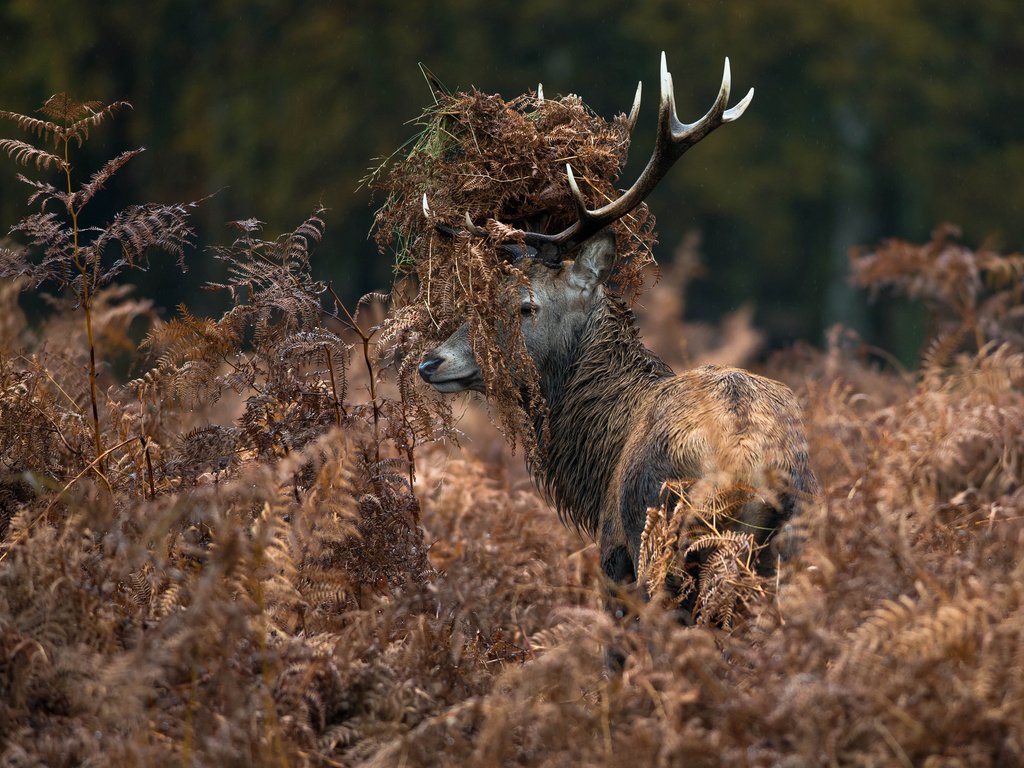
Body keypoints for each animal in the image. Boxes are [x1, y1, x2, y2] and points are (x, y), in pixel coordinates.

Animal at [415, 54, 815, 618]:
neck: (598, 465)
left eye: (525, 306)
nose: (431, 362)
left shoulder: (613, 558)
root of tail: (747, 469)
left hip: (664, 550)